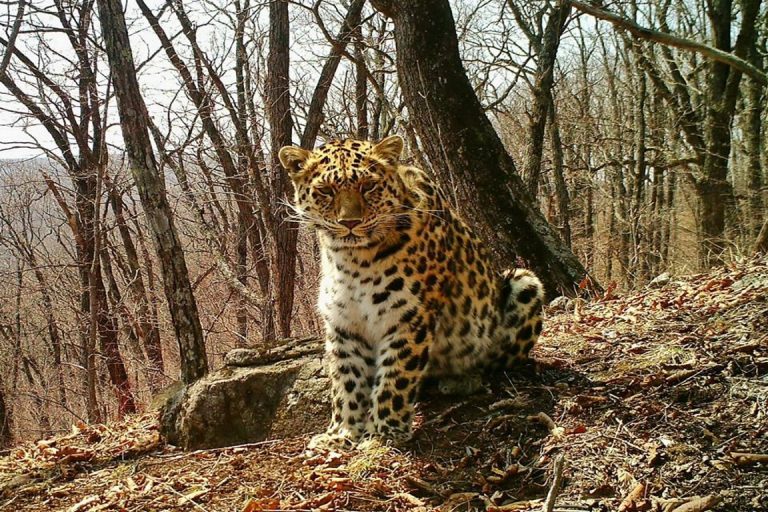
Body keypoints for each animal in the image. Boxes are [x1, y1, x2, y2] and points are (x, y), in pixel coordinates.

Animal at [278, 135, 544, 449]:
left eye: (368, 186)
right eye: (326, 191)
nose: (350, 223)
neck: (351, 259)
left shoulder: (408, 317)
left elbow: (395, 378)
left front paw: (382, 434)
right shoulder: (344, 325)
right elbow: (347, 381)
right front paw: (341, 434)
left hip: (524, 283)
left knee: (493, 362)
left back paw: (461, 380)